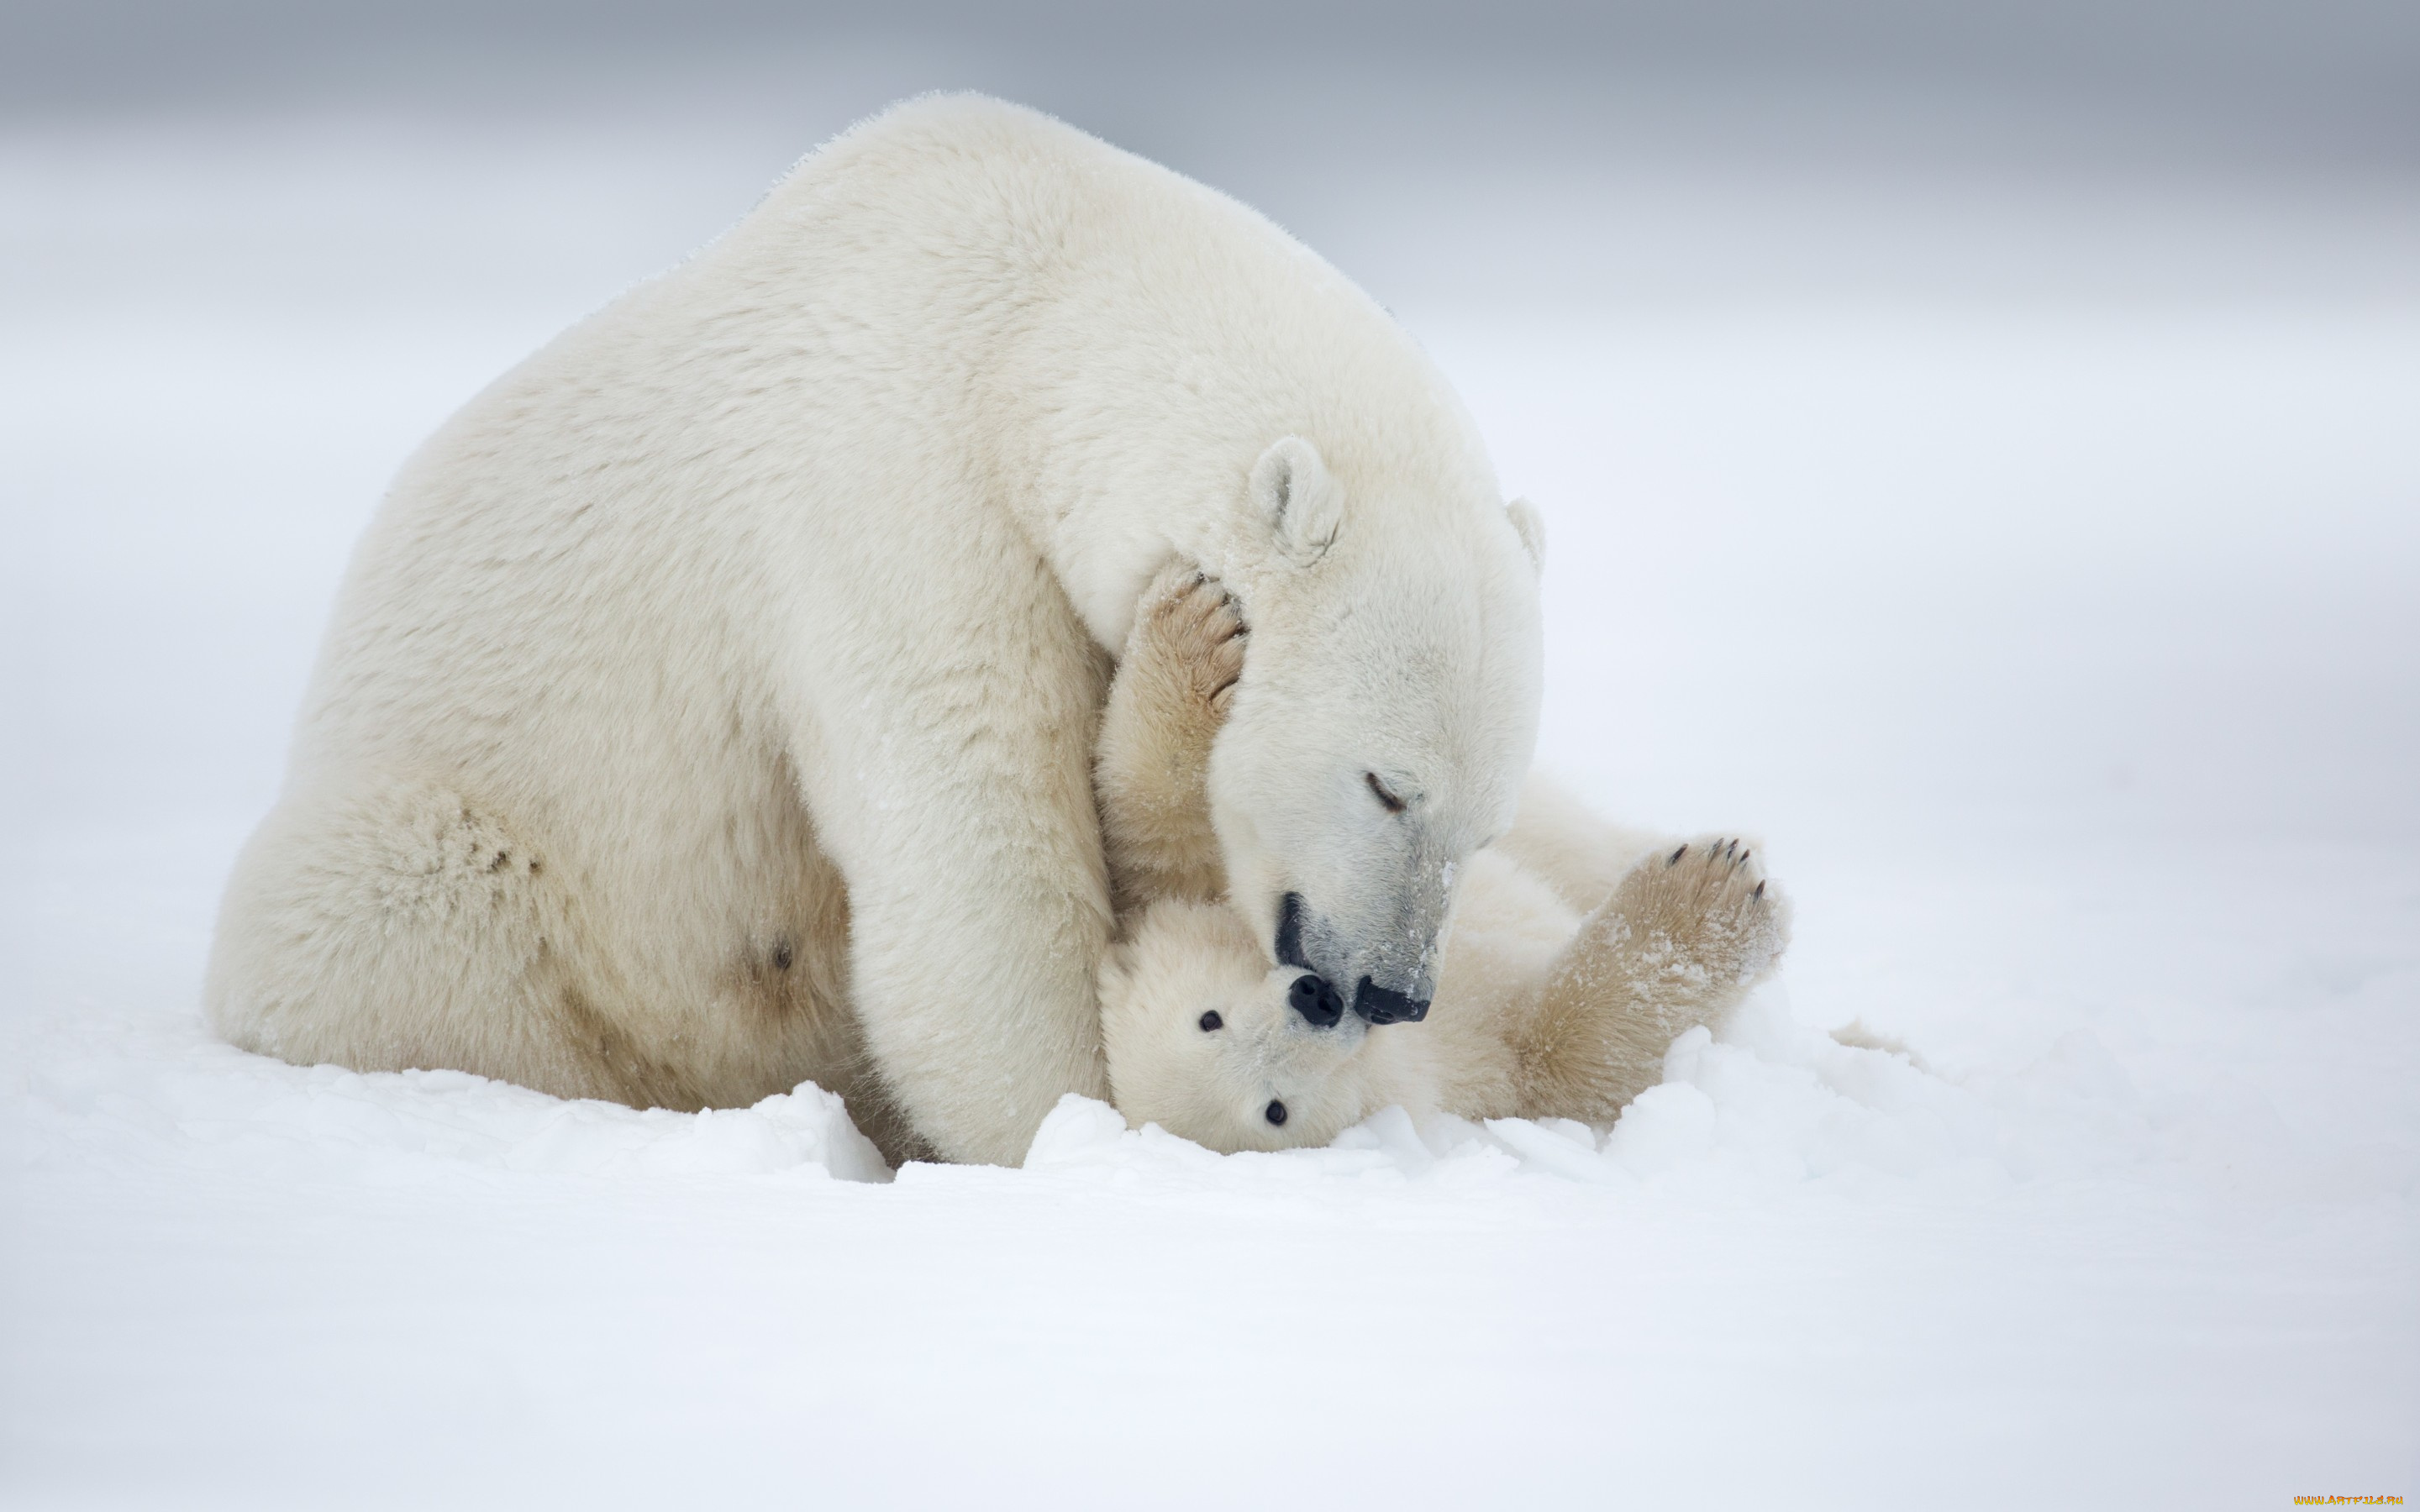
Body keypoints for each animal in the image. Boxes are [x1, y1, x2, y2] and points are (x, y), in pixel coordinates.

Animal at [203, 94, 1529, 1161]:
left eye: (1482, 824)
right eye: (1388, 785)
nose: (1394, 990)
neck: (1034, 313)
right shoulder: (893, 496)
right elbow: (975, 854)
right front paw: (1075, 1127)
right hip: (474, 859)